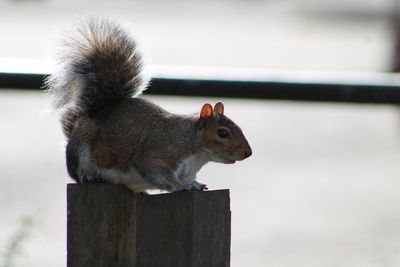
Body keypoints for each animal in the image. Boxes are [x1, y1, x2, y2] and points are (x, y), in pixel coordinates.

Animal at [47, 19, 252, 195]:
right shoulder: (160, 153)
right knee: (77, 172)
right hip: (82, 145)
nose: (248, 153)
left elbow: (187, 179)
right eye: (222, 133)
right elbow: (157, 173)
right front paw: (181, 187)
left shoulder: (187, 171)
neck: (195, 150)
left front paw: (194, 184)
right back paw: (88, 176)